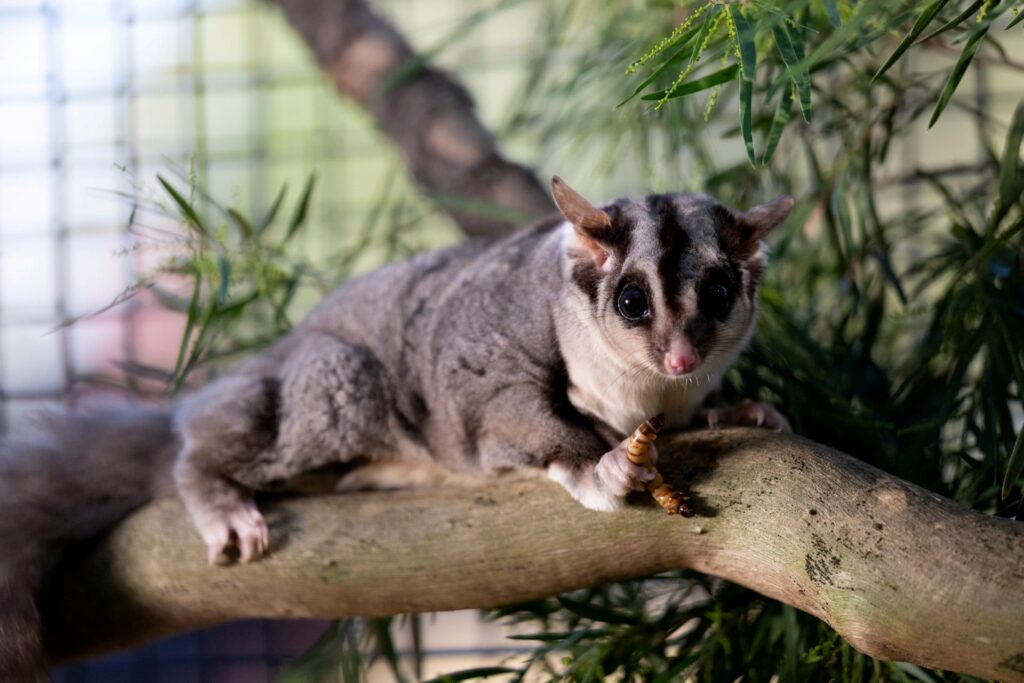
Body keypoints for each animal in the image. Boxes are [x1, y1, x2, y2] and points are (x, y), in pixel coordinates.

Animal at [0, 177, 792, 680]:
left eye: (719, 294)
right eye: (631, 301)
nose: (682, 355)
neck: (643, 387)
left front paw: (737, 410)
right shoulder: (488, 359)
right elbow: (509, 411)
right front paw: (604, 466)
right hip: (326, 384)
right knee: (238, 423)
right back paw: (216, 490)